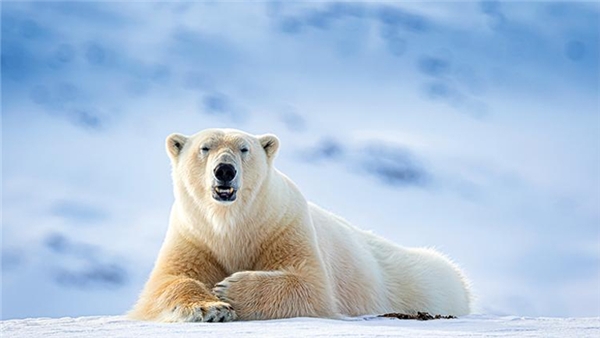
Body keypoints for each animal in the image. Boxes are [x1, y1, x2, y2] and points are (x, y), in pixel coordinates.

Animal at [129, 127, 472, 322]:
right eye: (205, 147)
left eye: (244, 149)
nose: (224, 170)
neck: (232, 225)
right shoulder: (194, 235)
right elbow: (168, 281)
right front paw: (210, 308)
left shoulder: (283, 226)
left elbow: (310, 284)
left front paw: (229, 289)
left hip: (423, 282)